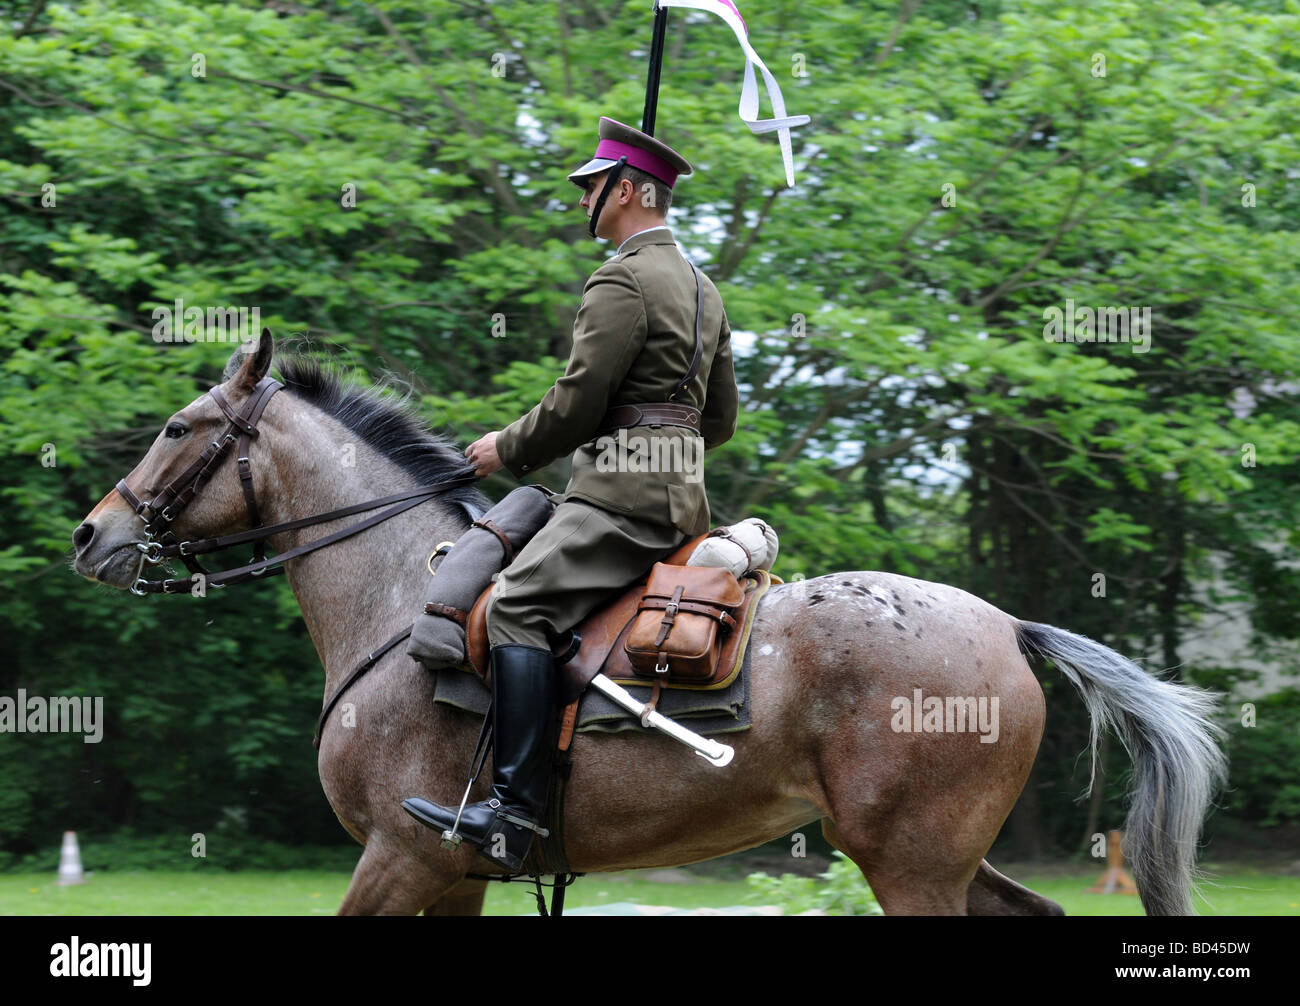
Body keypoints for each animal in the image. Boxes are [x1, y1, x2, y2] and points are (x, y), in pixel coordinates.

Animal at [73, 335, 1227, 920]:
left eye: (178, 427)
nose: (93, 533)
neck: (402, 594)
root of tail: (1008, 626)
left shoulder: (403, 859)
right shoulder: (450, 875)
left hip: (911, 863)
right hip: (934, 859)